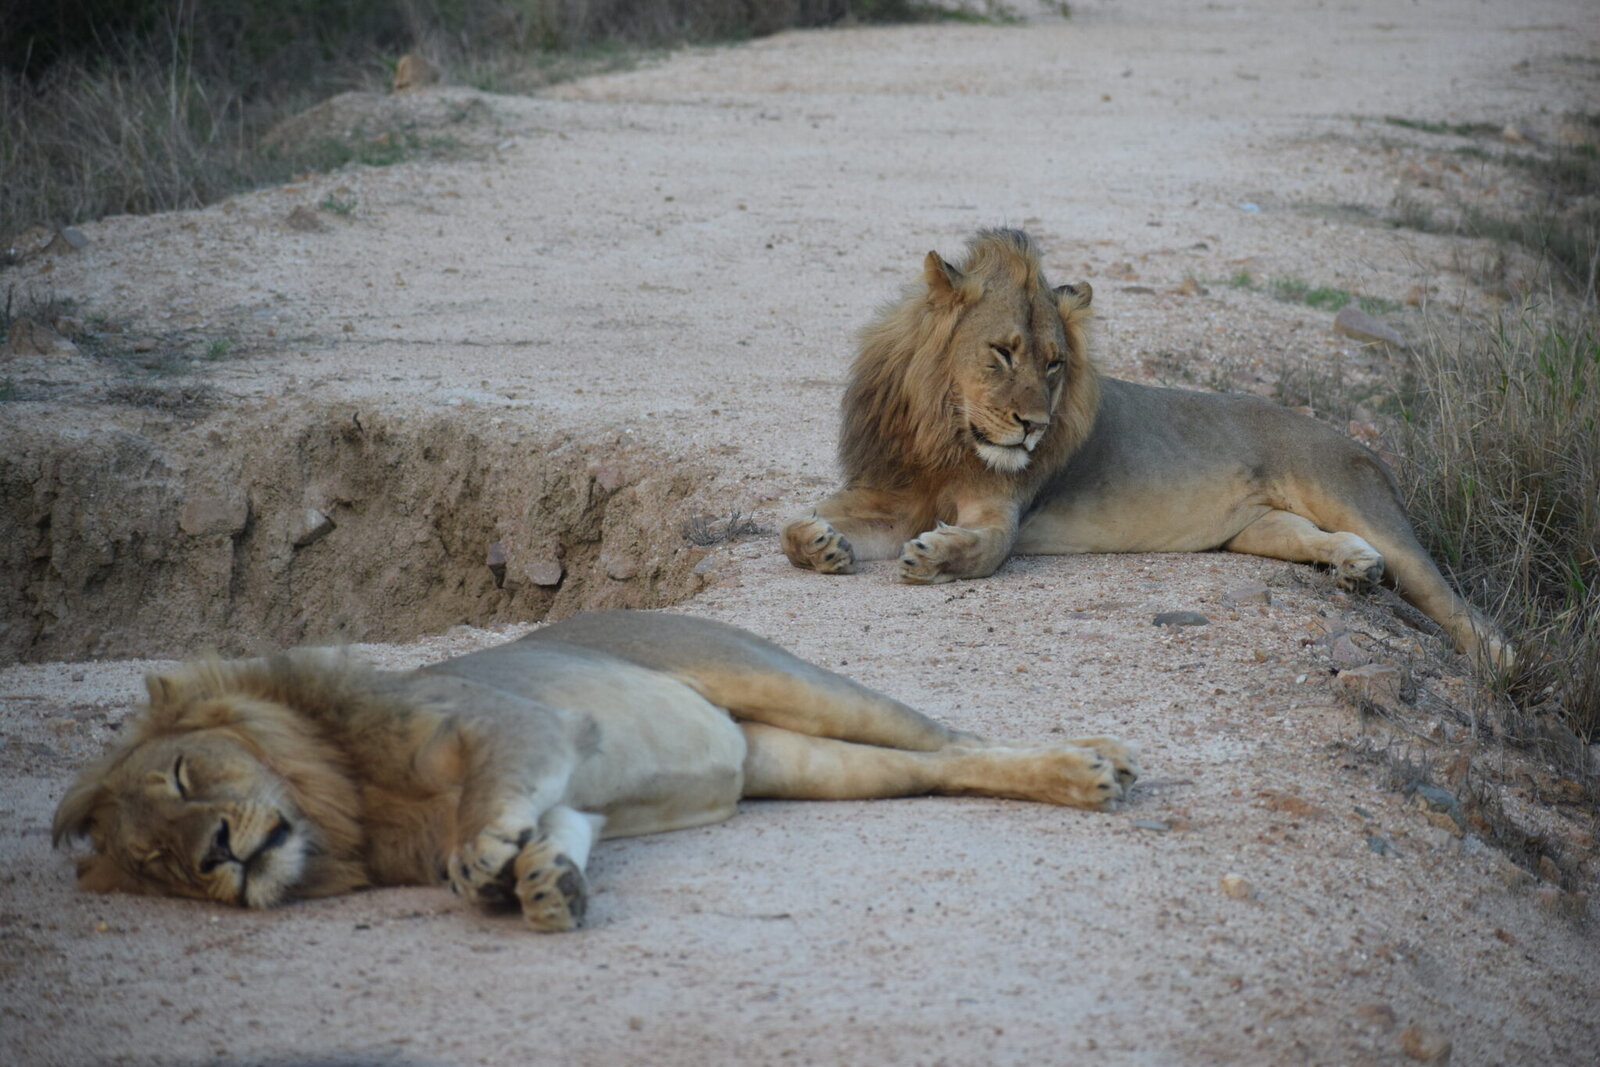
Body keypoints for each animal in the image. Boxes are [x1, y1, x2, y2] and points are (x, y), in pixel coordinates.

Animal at [52, 610, 1139, 932]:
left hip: (777, 675)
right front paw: (539, 884)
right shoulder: (572, 794)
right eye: (156, 863)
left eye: (184, 777)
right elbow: (562, 828)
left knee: (946, 735)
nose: (216, 855)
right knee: (928, 770)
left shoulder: (520, 722)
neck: (346, 807)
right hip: (804, 762)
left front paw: (482, 858)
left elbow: (491, 792)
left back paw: (1097, 764)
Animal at [782, 228, 1509, 669]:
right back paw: (1355, 567)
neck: (943, 431)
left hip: (1353, 496)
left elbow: (980, 549)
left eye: (1054, 364)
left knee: (1455, 603)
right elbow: (789, 526)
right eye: (1003, 352)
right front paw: (820, 544)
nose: (1033, 426)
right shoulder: (886, 496)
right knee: (1312, 536)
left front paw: (932, 556)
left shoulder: (1001, 515)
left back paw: (1502, 667)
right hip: (1258, 529)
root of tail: (1353, 438)